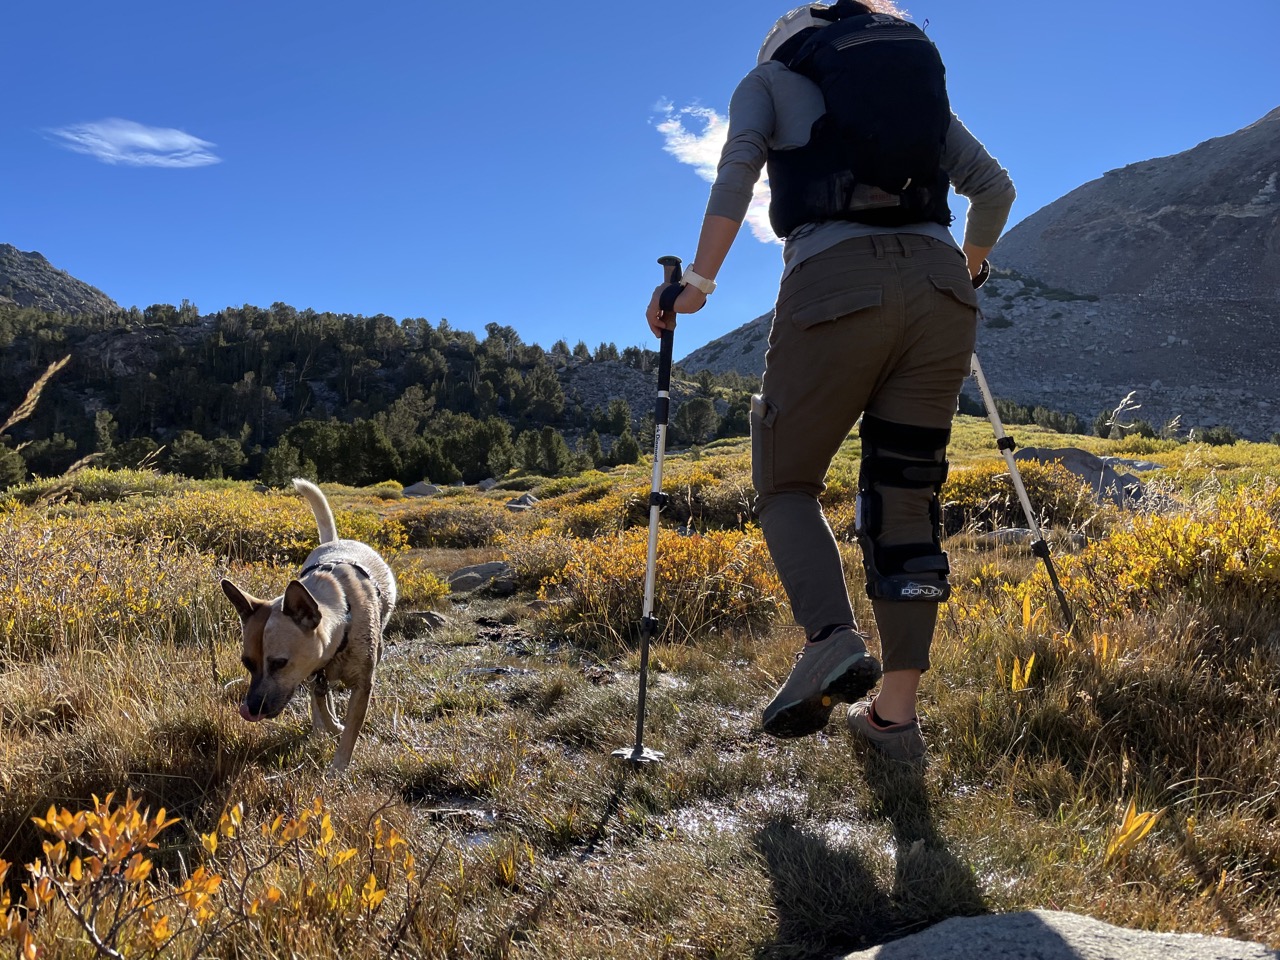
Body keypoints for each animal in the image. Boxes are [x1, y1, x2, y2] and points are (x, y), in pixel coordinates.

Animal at [221, 481, 394, 773]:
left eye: (279, 663)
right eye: (247, 663)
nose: (251, 709)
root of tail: (335, 541)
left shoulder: (362, 685)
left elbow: (351, 731)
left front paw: (338, 768)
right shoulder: (315, 672)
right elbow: (323, 705)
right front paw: (329, 727)